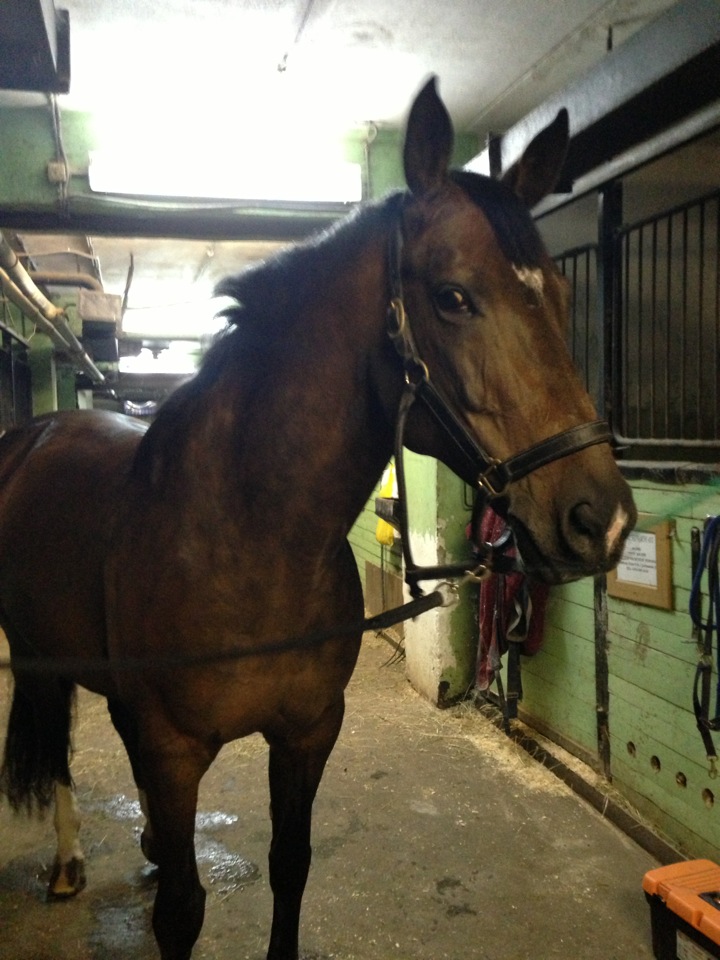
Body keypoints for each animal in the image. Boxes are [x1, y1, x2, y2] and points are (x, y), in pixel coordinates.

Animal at [0, 78, 636, 960]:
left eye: (562, 295)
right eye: (453, 297)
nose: (601, 520)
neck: (247, 541)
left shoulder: (306, 732)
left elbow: (290, 867)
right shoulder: (173, 751)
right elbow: (182, 911)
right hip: (38, 658)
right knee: (54, 746)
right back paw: (68, 862)